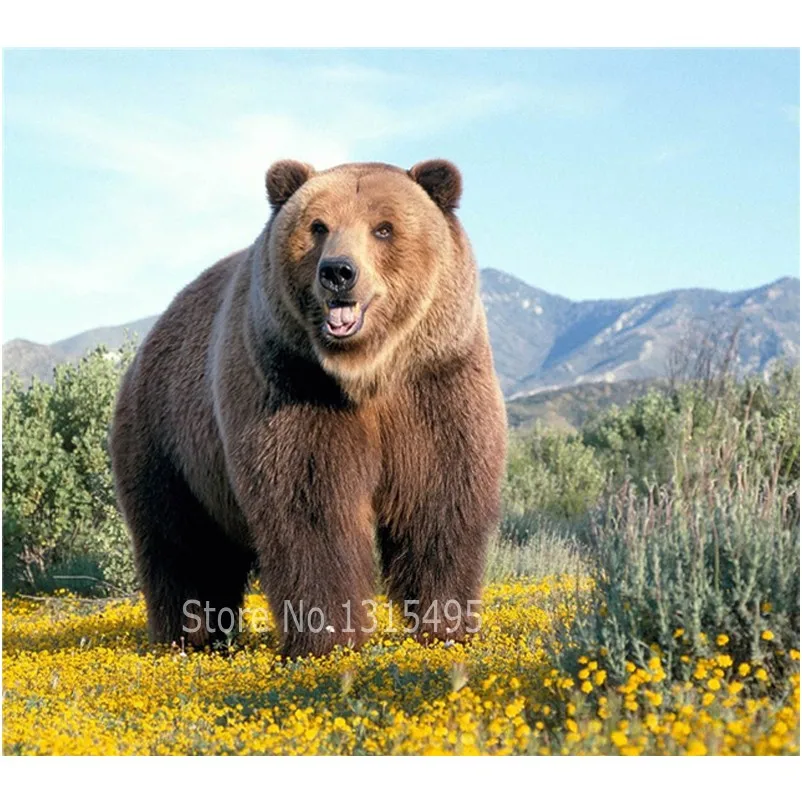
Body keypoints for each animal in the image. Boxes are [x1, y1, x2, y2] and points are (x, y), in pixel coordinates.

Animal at [109, 159, 507, 658]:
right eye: (318, 226)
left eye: (383, 227)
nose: (338, 271)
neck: (367, 372)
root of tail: (149, 340)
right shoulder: (292, 387)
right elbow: (311, 508)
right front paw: (328, 638)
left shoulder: (436, 383)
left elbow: (440, 499)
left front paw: (446, 627)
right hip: (168, 441)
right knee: (182, 544)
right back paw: (188, 637)